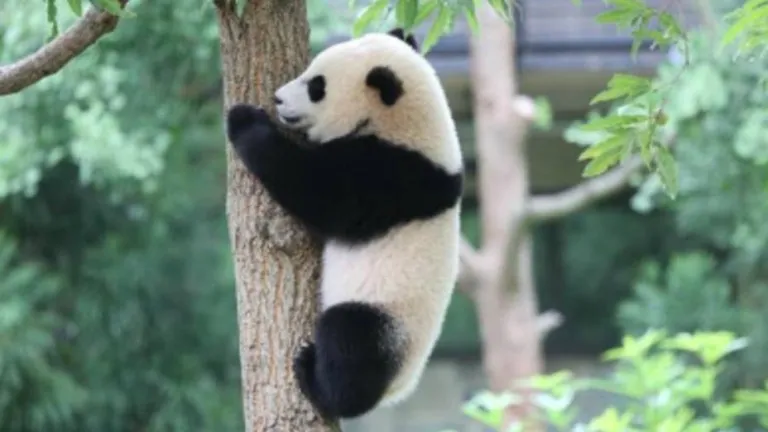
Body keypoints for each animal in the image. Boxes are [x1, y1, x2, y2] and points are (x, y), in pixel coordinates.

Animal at [225, 28, 464, 420]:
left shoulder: (389, 175)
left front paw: (244, 120)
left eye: (316, 86)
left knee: (350, 342)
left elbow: (316, 190)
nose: (277, 99)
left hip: (387, 317)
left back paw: (317, 381)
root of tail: (400, 388)